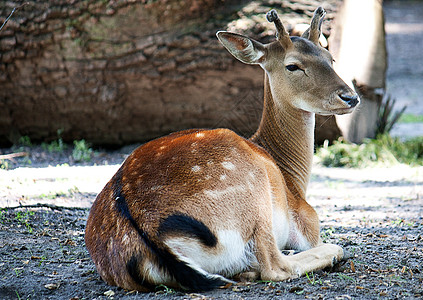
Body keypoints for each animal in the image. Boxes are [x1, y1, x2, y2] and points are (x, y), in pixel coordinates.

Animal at [84, 7, 360, 292]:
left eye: (330, 58)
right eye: (292, 65)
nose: (350, 97)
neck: (293, 178)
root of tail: (150, 239)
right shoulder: (307, 221)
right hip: (253, 193)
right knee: (275, 266)